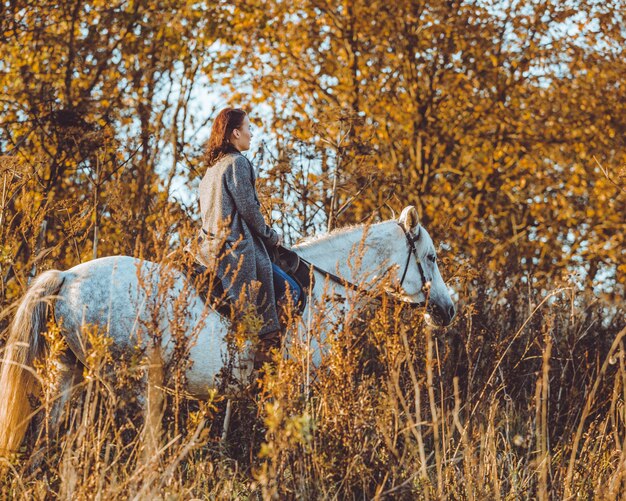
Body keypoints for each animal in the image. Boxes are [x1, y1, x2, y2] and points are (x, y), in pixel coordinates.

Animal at [0, 206, 454, 454]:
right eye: (431, 257)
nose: (448, 310)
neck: (327, 285)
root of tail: (67, 277)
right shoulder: (300, 381)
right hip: (124, 380)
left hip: (67, 371)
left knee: (49, 432)